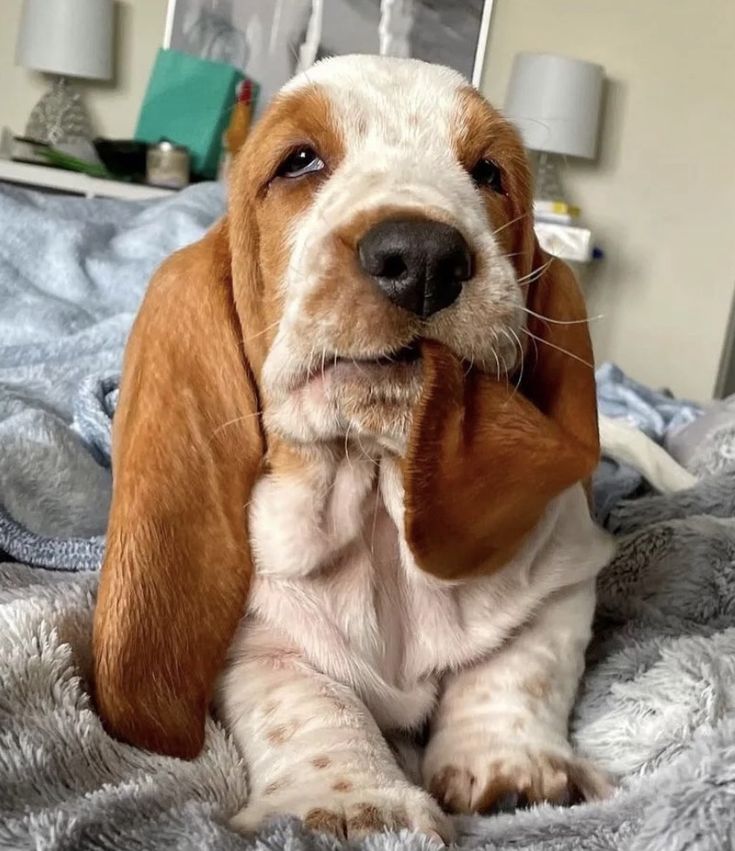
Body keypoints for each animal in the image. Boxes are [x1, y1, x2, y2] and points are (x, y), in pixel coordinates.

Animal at [95, 56, 620, 844]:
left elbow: (517, 667)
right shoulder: (259, 642)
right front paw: (355, 800)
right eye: (298, 161)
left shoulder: (562, 578)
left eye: (489, 172)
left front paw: (516, 769)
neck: (375, 494)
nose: (423, 257)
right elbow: (312, 703)